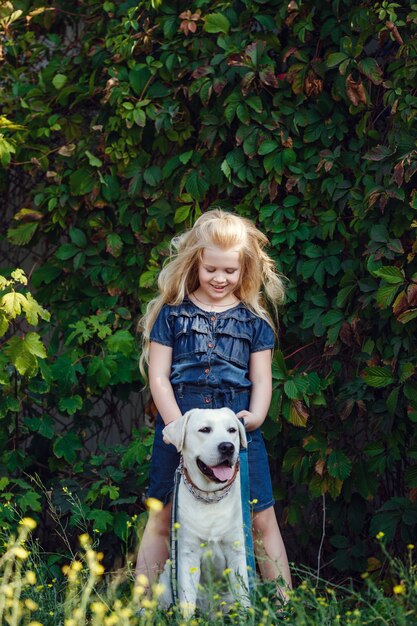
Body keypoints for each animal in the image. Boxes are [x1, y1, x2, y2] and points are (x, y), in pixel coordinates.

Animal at [159, 404, 250, 616]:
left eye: (232, 430)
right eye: (205, 430)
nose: (227, 446)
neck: (210, 496)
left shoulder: (236, 551)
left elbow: (243, 595)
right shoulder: (188, 554)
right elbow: (186, 600)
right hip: (165, 579)